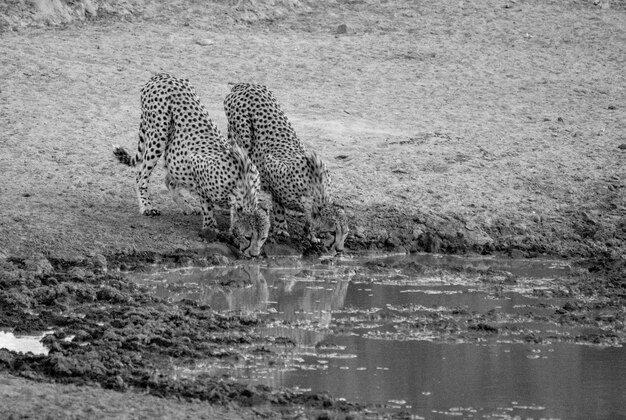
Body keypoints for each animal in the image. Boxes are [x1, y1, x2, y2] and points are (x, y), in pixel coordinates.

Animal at [113, 74, 270, 258]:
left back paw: (186, 206)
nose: (254, 254)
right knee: (141, 176)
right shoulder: (196, 164)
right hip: (158, 134)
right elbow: (207, 205)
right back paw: (147, 206)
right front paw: (210, 228)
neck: (243, 186)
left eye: (263, 238)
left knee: (169, 179)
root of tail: (162, 76)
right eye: (248, 236)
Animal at [221, 83, 348, 251]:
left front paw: (311, 234)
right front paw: (281, 228)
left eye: (345, 232)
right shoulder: (273, 169)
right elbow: (278, 205)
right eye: (332, 232)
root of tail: (246, 84)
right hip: (243, 134)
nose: (339, 250)